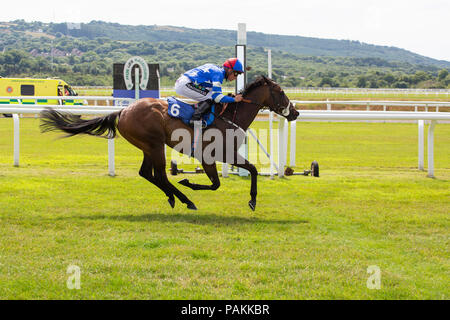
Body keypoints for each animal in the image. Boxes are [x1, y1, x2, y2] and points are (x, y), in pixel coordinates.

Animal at [39, 74, 298, 210]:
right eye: (281, 92)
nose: (295, 112)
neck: (230, 116)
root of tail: (123, 111)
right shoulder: (213, 156)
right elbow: (224, 181)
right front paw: (189, 182)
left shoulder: (223, 156)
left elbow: (246, 171)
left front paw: (252, 200)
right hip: (154, 145)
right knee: (160, 175)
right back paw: (185, 198)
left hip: (148, 146)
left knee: (147, 174)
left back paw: (174, 197)